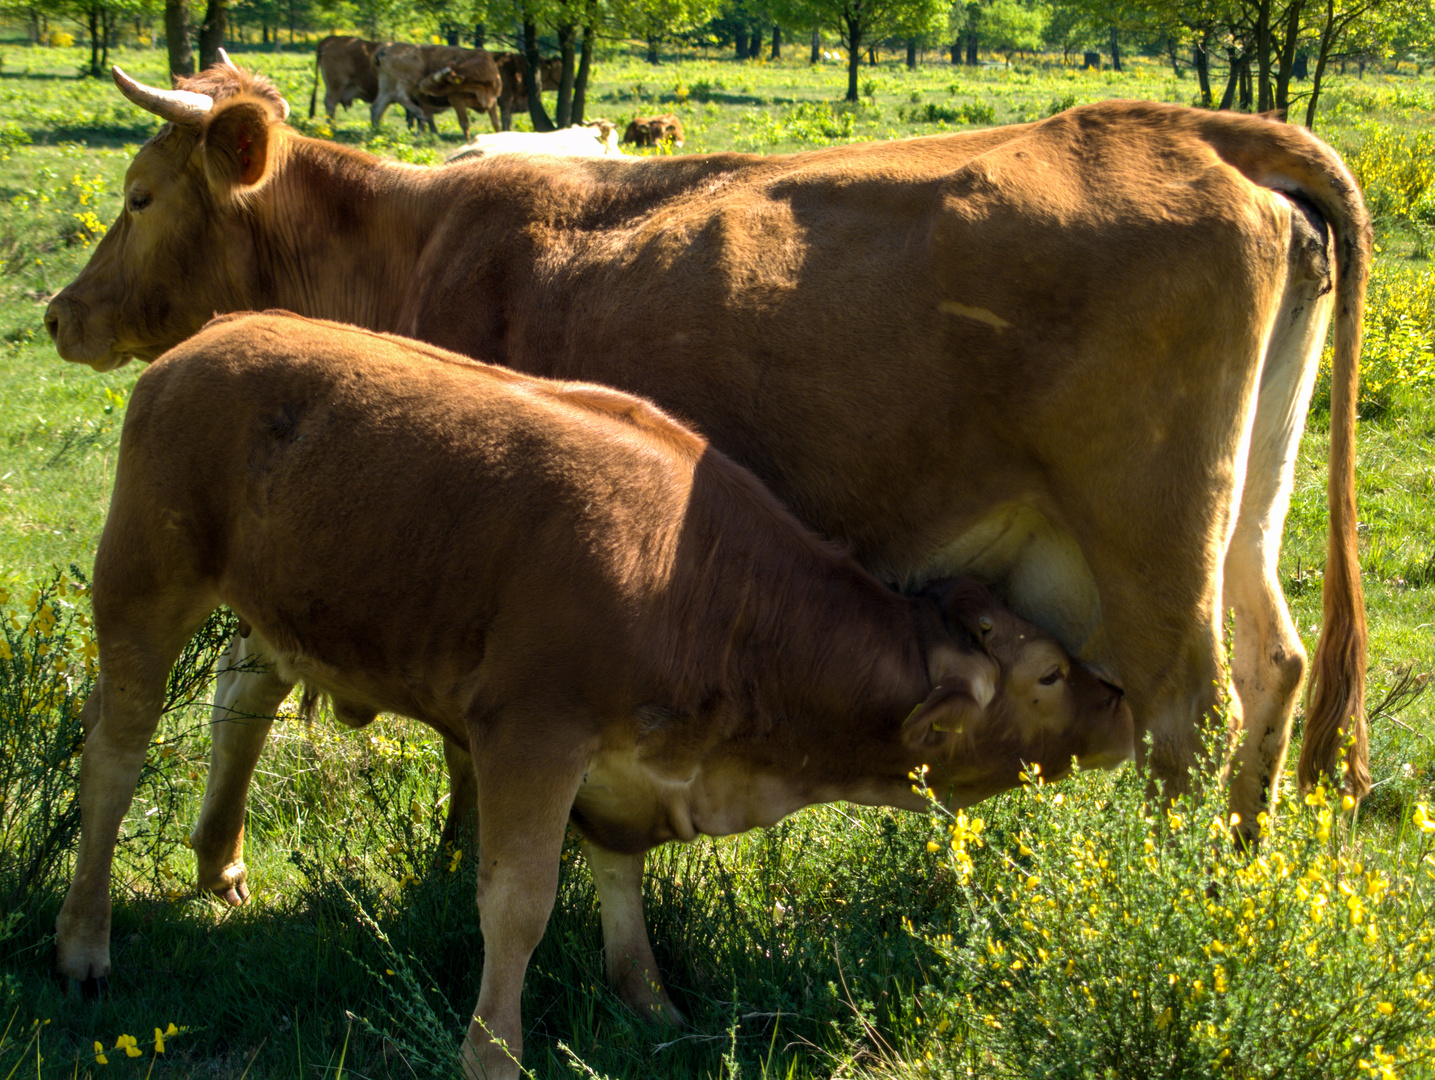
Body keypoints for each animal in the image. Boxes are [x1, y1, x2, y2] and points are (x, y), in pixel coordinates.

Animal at [53, 311, 1130, 1078]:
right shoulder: (532, 734)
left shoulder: (628, 762)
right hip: (144, 585)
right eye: (1045, 674)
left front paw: (648, 1000)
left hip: (279, 609)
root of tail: (214, 335)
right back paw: (83, 946)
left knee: (240, 696)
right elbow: (517, 903)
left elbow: (621, 875)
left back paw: (220, 865)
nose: (1118, 699)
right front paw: (493, 1049)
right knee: (113, 758)